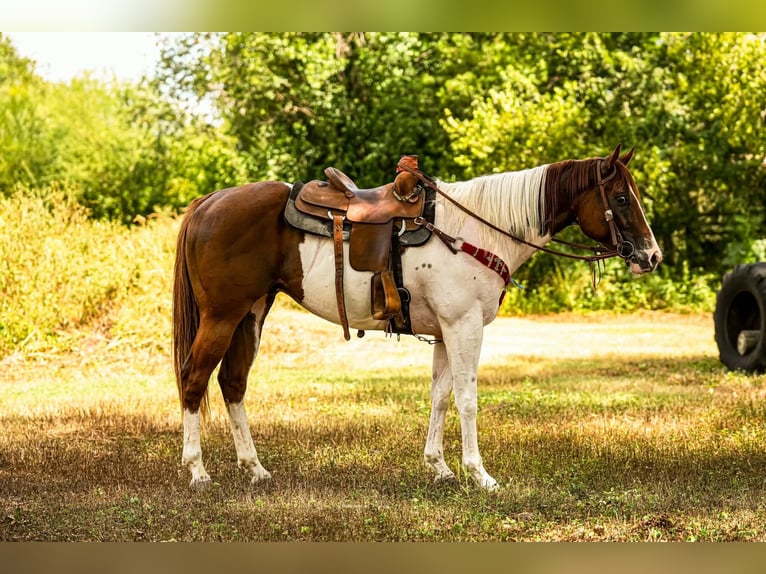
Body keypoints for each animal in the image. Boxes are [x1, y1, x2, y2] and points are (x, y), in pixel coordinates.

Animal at [172, 144, 662, 491]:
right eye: (621, 197)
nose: (651, 256)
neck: (476, 231)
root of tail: (208, 202)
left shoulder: (446, 332)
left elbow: (440, 398)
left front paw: (439, 468)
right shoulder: (464, 326)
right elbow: (467, 399)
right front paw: (479, 474)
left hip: (251, 313)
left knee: (232, 383)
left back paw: (254, 469)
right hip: (222, 316)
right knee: (194, 379)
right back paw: (198, 472)